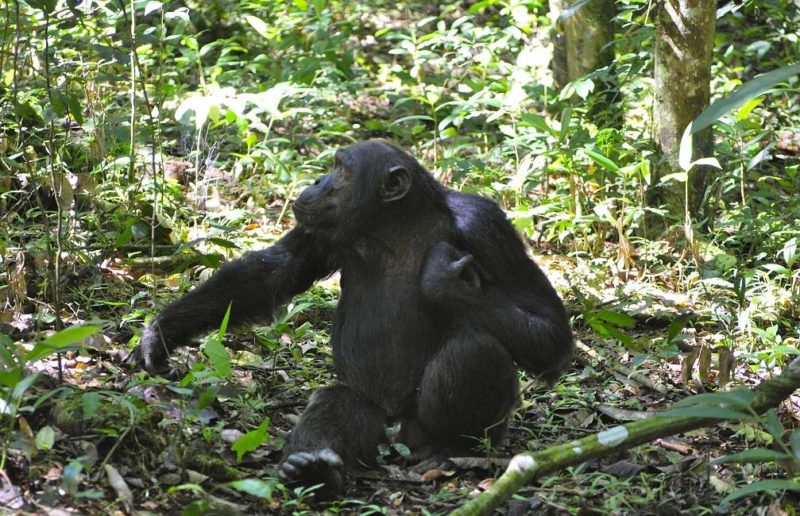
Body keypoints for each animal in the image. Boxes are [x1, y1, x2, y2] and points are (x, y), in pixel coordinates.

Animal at [128, 139, 572, 494]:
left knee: (473, 350)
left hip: (432, 431)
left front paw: (442, 281)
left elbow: (550, 329)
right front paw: (160, 335)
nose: (317, 181)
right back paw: (313, 468)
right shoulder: (321, 228)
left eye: (341, 169)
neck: (393, 228)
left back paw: (450, 448)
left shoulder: (486, 225)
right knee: (338, 401)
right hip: (371, 415)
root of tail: (396, 436)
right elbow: (273, 270)